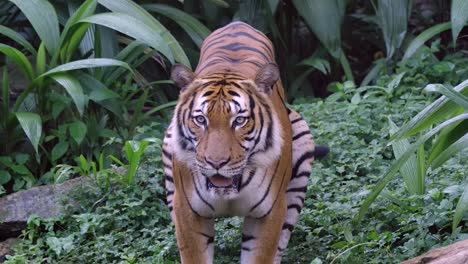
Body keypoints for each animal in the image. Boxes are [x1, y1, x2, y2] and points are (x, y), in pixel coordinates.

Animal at [163, 21, 320, 264]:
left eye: (239, 120)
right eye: (201, 119)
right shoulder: (187, 212)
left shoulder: (269, 213)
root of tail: (237, 24)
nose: (216, 163)